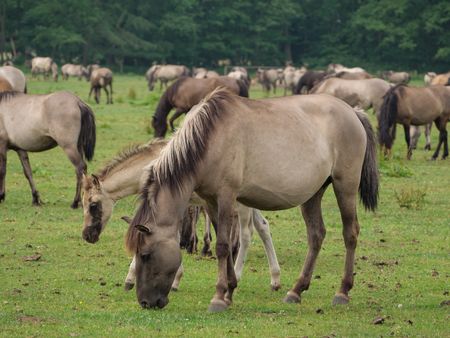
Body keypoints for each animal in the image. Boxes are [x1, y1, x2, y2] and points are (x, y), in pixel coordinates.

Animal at [79, 141, 280, 292]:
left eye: (93, 205)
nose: (87, 235)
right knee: (263, 227)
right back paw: (275, 279)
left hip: (240, 204)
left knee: (247, 233)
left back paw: (237, 275)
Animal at [125, 88, 380, 312]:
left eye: (145, 255)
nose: (145, 302)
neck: (210, 138)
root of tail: (353, 112)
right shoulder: (211, 201)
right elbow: (225, 244)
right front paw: (229, 292)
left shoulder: (227, 197)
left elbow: (223, 246)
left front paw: (218, 297)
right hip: (313, 193)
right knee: (316, 235)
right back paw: (296, 290)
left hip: (345, 185)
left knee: (350, 233)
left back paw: (342, 292)